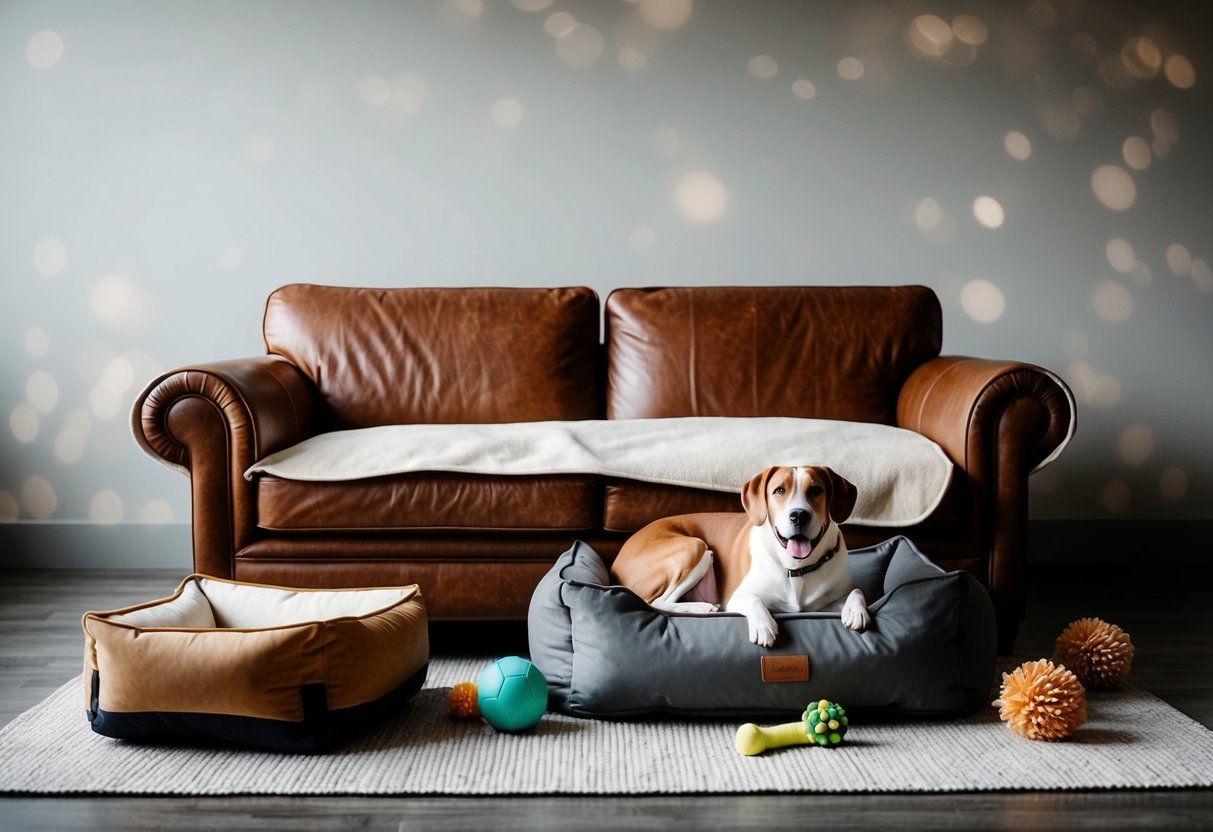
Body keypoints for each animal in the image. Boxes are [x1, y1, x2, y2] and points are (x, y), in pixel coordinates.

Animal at [611, 465, 868, 650]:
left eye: (815, 490)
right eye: (779, 490)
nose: (798, 515)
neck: (797, 568)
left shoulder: (835, 596)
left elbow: (856, 591)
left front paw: (857, 611)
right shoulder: (738, 597)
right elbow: (754, 601)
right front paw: (764, 626)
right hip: (695, 547)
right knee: (656, 602)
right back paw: (702, 607)